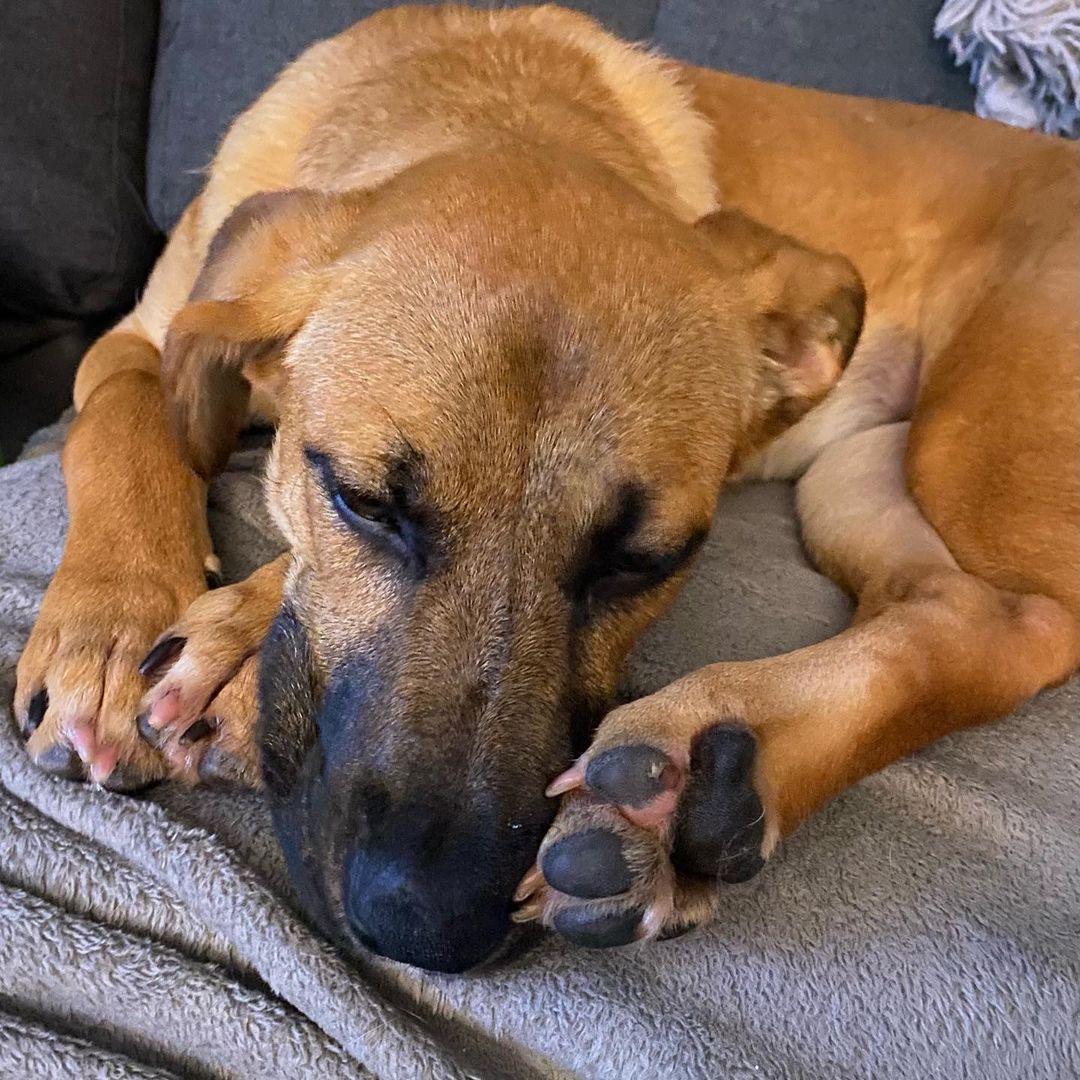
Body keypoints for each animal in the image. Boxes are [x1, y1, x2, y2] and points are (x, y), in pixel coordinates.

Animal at [10, 6, 1080, 972]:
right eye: (362, 502)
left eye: (649, 561)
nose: (429, 928)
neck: (487, 96)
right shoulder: (136, 341)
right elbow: (119, 430)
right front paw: (106, 635)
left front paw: (231, 650)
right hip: (858, 484)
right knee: (969, 616)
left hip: (969, 462)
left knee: (1034, 622)